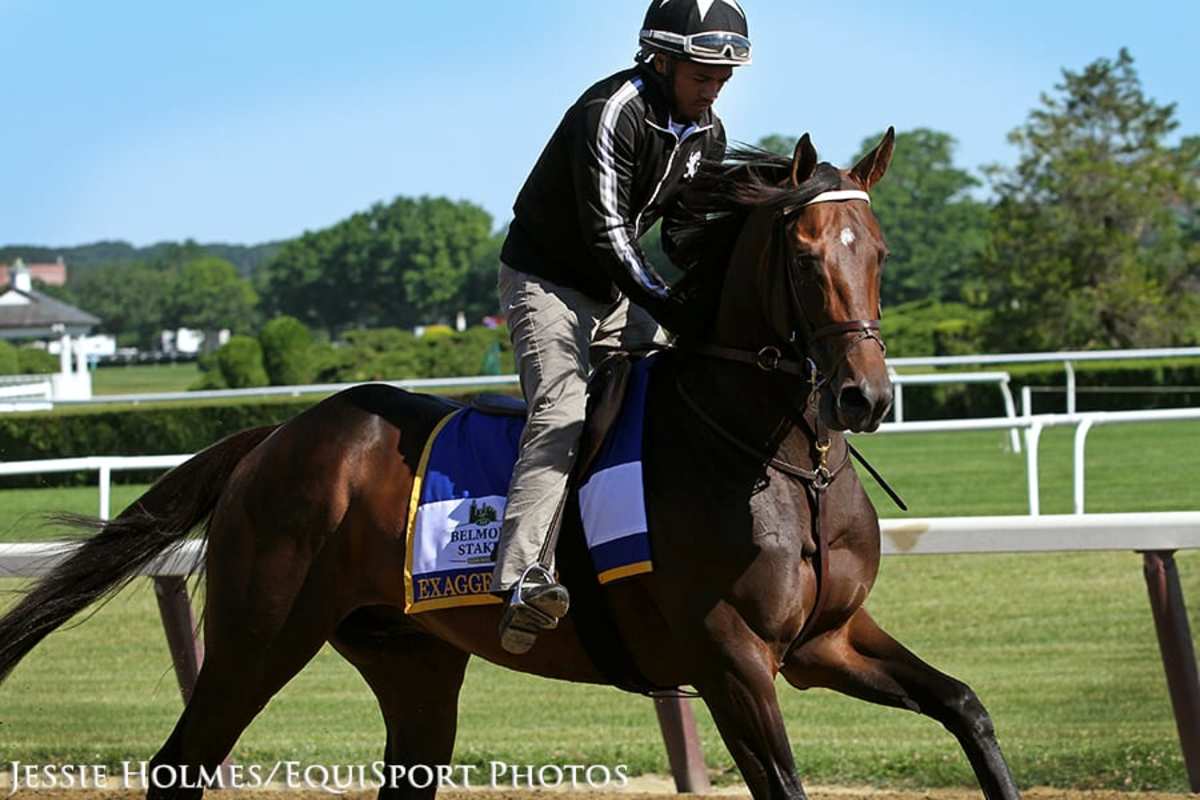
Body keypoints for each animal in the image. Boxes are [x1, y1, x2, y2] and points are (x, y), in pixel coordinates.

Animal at [0, 133, 1022, 800]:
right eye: (804, 256)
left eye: (878, 251)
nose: (863, 397)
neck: (776, 460)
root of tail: (279, 435)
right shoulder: (732, 656)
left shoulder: (825, 640)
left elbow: (968, 708)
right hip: (261, 631)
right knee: (180, 764)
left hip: (408, 660)